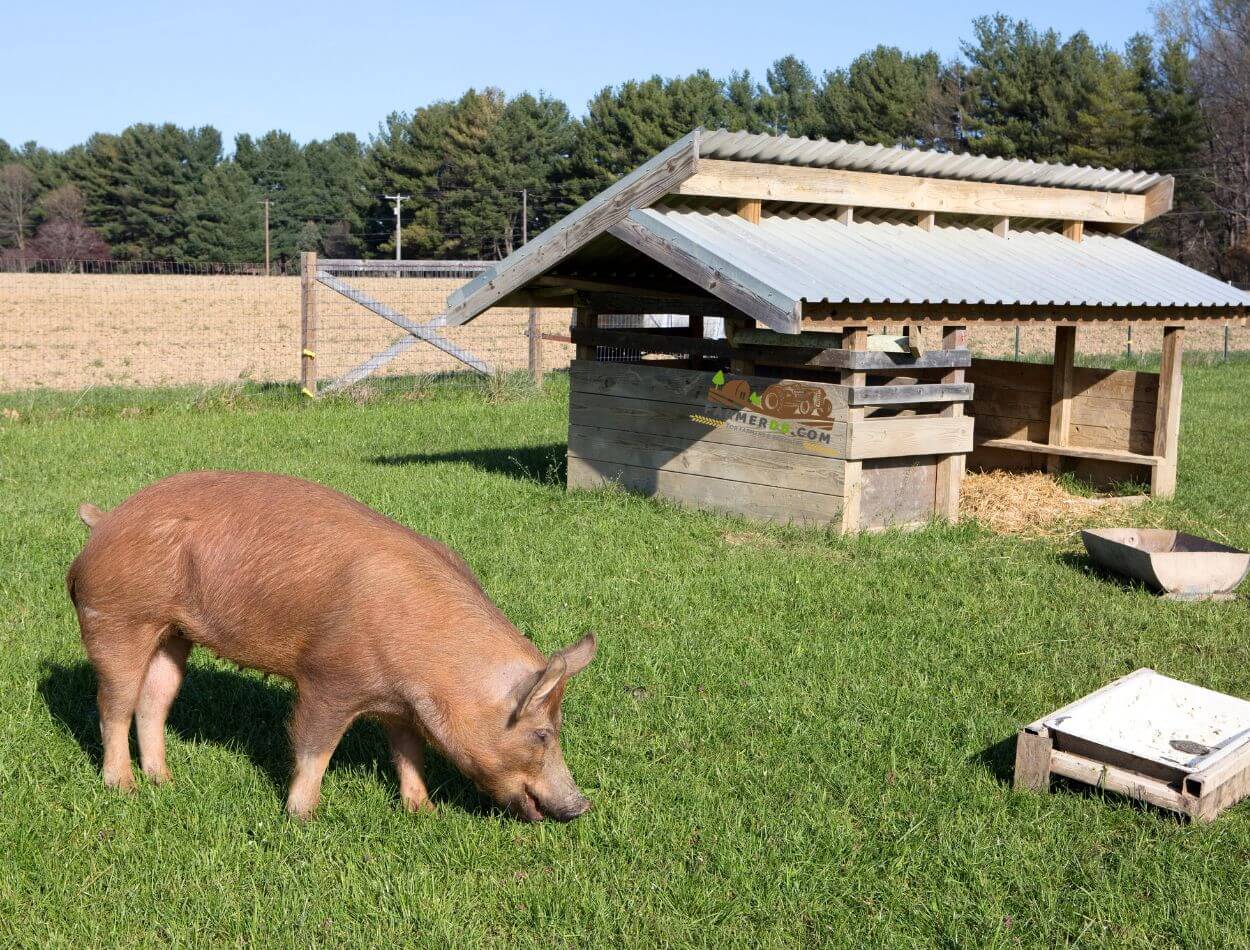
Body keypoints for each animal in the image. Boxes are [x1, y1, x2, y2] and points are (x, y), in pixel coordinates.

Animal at [65, 472, 597, 820]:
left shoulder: (401, 707)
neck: (434, 667)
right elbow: (314, 747)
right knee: (112, 704)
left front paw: (423, 812)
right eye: (542, 734)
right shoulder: (328, 678)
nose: (581, 805)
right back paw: (125, 789)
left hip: (172, 634)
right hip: (115, 618)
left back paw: (165, 781)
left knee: (154, 701)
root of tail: (104, 521)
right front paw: (302, 817)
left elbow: (409, 752)